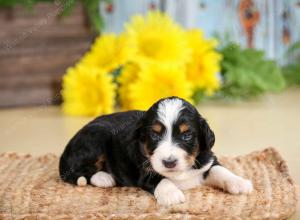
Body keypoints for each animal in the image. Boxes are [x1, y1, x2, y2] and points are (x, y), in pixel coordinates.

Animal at [59, 97, 252, 205]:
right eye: (154, 134)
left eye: (186, 135)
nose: (169, 162)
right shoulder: (145, 170)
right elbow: (161, 179)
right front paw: (171, 194)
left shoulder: (206, 159)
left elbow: (220, 170)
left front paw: (239, 183)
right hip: (96, 137)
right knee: (76, 171)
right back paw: (103, 177)